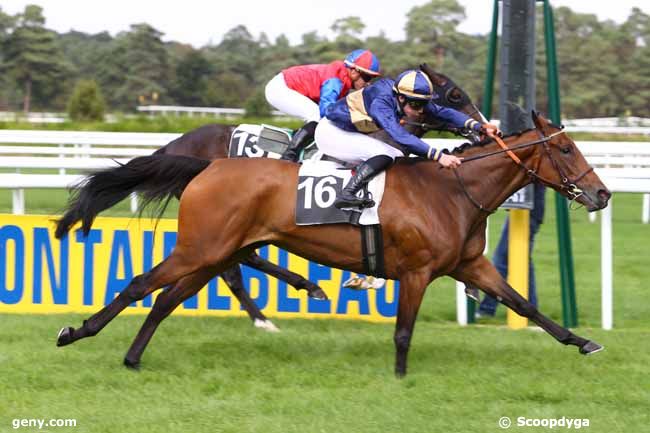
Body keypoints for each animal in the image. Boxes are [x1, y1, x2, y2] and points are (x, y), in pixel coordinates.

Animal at [55, 65, 480, 330]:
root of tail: (178, 144)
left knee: (242, 259)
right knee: (236, 265)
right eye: (454, 94)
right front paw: (364, 280)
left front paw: (364, 279)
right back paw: (270, 313)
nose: (480, 125)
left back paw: (291, 295)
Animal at [55, 111, 608, 374]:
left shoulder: (471, 266)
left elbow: (525, 304)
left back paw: (133, 357)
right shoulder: (417, 271)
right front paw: (400, 378)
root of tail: (206, 165)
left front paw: (583, 341)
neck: (452, 189)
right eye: (564, 148)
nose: (601, 193)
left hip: (217, 251)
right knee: (141, 284)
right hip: (200, 248)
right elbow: (403, 332)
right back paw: (76, 333)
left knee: (167, 299)